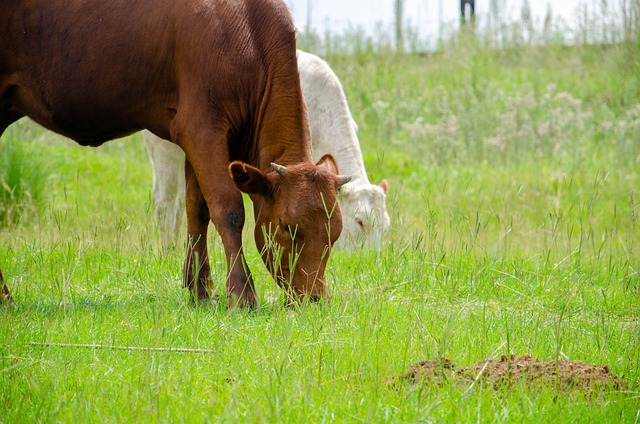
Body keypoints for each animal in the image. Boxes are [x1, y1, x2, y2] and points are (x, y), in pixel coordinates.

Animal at [1, 0, 350, 306]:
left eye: (335, 234)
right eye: (287, 227)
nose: (315, 297)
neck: (246, 34)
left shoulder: (194, 137)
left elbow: (197, 208)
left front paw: (199, 289)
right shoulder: (201, 126)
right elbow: (228, 208)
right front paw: (242, 293)